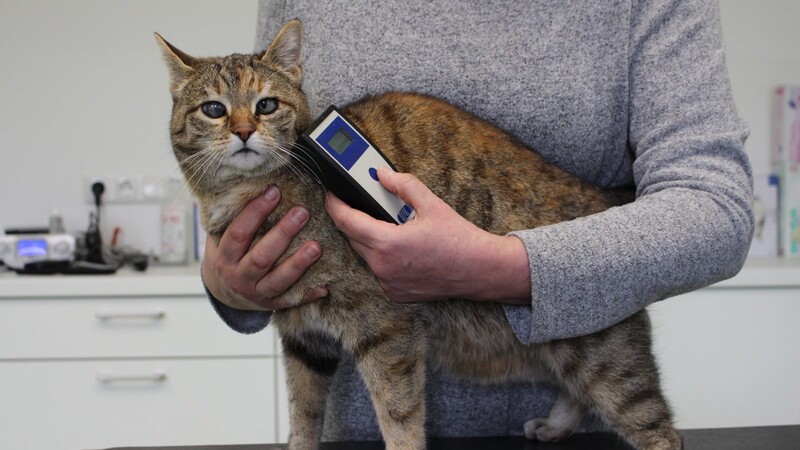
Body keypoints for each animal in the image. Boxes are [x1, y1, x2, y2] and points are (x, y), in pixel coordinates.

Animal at [155, 19, 680, 450]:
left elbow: (398, 413)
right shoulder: (304, 336)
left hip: (604, 358)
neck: (249, 194)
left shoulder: (386, 326)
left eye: (265, 105)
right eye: (213, 109)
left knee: (658, 427)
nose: (244, 130)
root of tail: (603, 194)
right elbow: (303, 414)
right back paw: (555, 425)